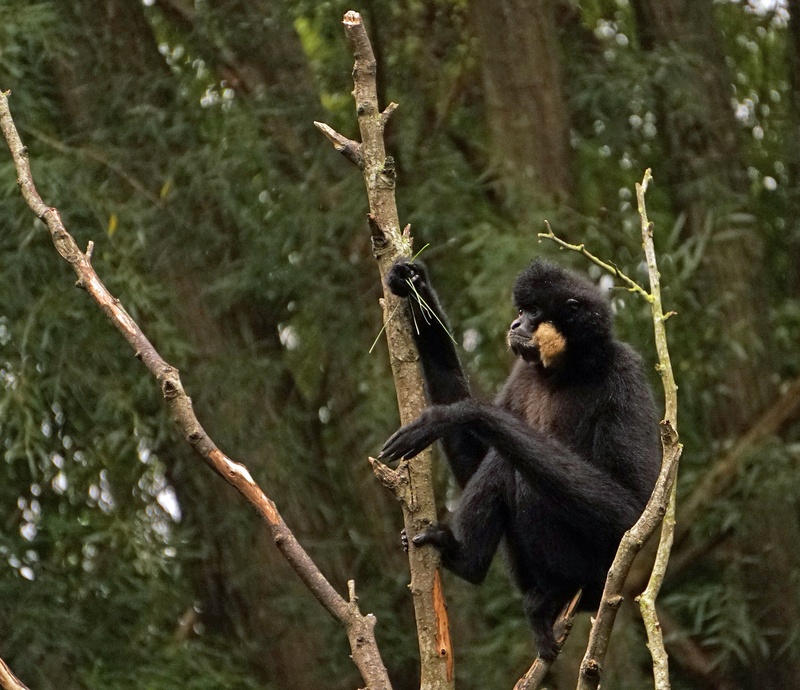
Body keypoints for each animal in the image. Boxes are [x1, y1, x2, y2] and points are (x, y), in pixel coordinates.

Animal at [379, 258, 661, 660]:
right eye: (521, 311)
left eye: (534, 312)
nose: (516, 325)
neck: (567, 370)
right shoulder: (523, 374)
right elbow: (475, 466)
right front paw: (416, 286)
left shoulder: (625, 373)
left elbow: (630, 508)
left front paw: (462, 413)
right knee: (501, 461)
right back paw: (464, 561)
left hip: (596, 572)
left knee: (517, 471)